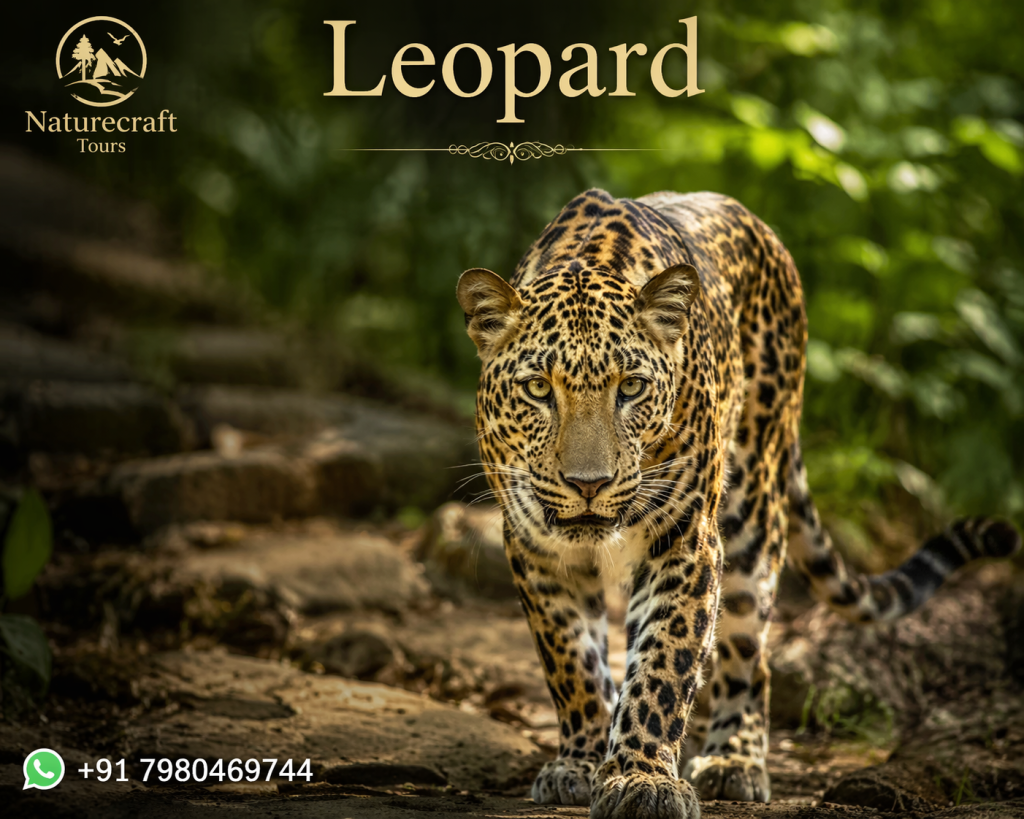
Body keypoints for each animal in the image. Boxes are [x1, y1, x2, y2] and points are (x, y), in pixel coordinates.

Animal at [455, 188, 1021, 819]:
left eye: (631, 388)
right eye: (538, 389)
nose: (588, 484)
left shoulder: (686, 540)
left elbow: (662, 665)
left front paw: (640, 777)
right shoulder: (537, 550)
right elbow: (571, 663)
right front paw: (579, 763)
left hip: (754, 515)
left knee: (753, 655)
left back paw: (734, 760)